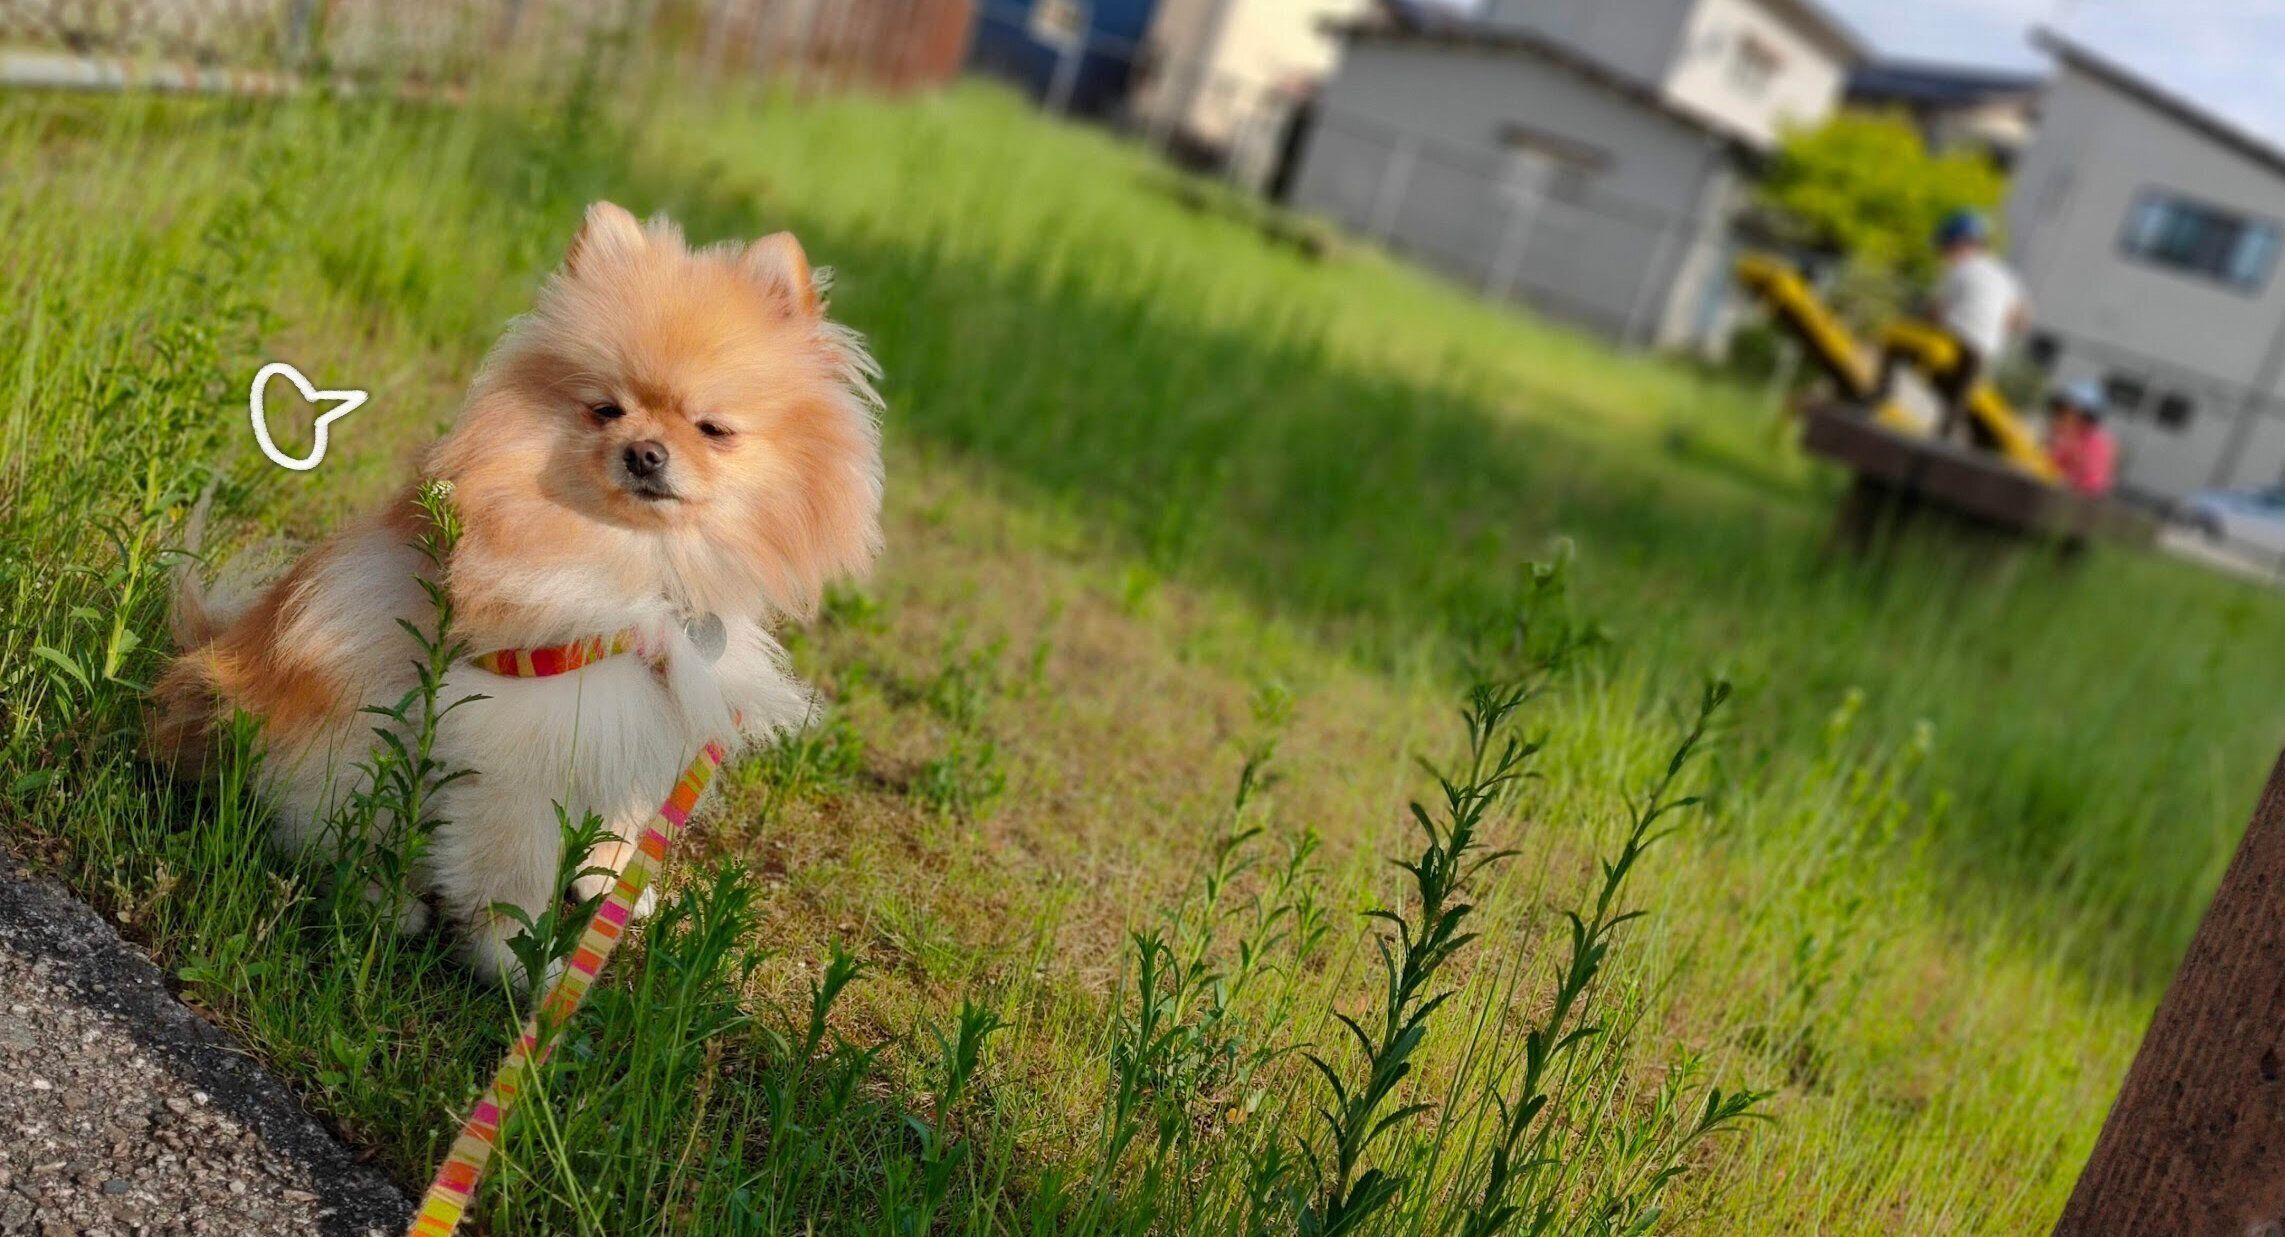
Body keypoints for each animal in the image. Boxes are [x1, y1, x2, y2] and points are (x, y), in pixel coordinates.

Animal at [149, 202, 883, 986]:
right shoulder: (517, 744)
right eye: (605, 410)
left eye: (712, 429)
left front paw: (611, 882)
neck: (644, 565)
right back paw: (388, 902)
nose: (644, 453)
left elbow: (626, 806)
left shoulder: (650, 704)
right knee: (322, 837)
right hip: (340, 749)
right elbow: (513, 878)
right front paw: (521, 968)